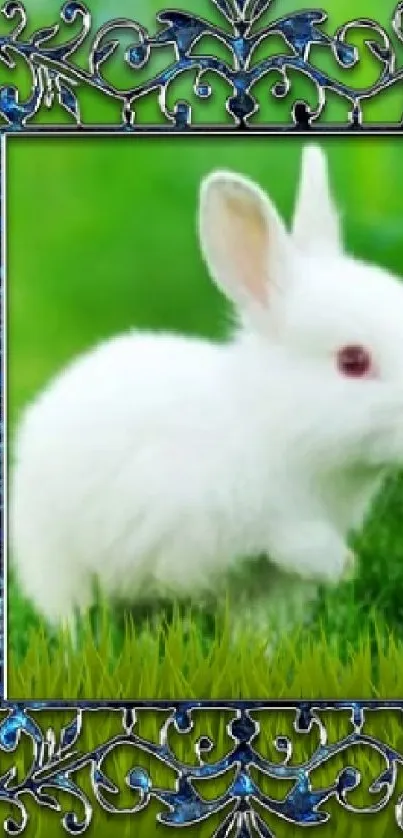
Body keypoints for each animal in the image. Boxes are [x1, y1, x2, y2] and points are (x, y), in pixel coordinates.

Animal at [7, 146, 403, 632]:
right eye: (352, 361)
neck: (271, 425)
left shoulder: (275, 589)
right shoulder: (210, 527)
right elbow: (288, 541)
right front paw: (341, 564)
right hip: (59, 569)